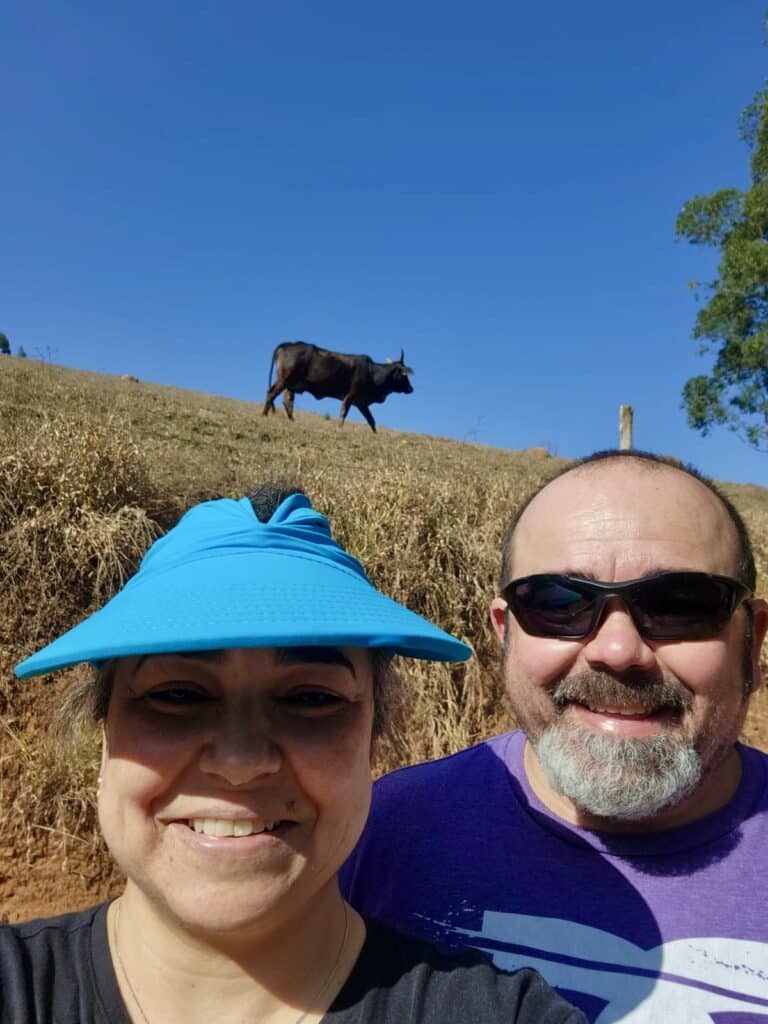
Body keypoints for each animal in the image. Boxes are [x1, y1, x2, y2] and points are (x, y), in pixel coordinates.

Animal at [264, 339, 415, 428]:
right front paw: (339, 427)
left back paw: (291, 420)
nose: (411, 388)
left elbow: (371, 420)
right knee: (271, 393)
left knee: (287, 402)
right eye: (404, 376)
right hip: (284, 379)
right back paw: (264, 415)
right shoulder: (351, 395)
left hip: (291, 385)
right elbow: (344, 412)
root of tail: (287, 344)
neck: (373, 373)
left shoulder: (361, 403)